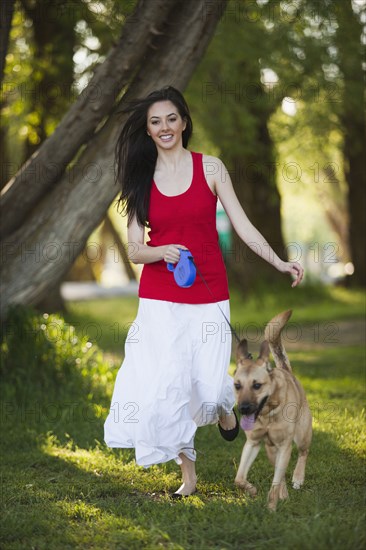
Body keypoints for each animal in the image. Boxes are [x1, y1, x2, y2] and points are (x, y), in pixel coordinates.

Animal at [234, 310, 312, 512]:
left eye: (257, 385)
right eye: (237, 385)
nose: (243, 408)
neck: (268, 415)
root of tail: (287, 370)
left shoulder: (285, 446)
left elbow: (275, 482)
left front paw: (271, 507)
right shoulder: (252, 443)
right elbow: (239, 478)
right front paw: (252, 490)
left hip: (301, 436)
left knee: (303, 454)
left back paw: (298, 478)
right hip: (270, 450)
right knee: (280, 471)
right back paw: (284, 494)